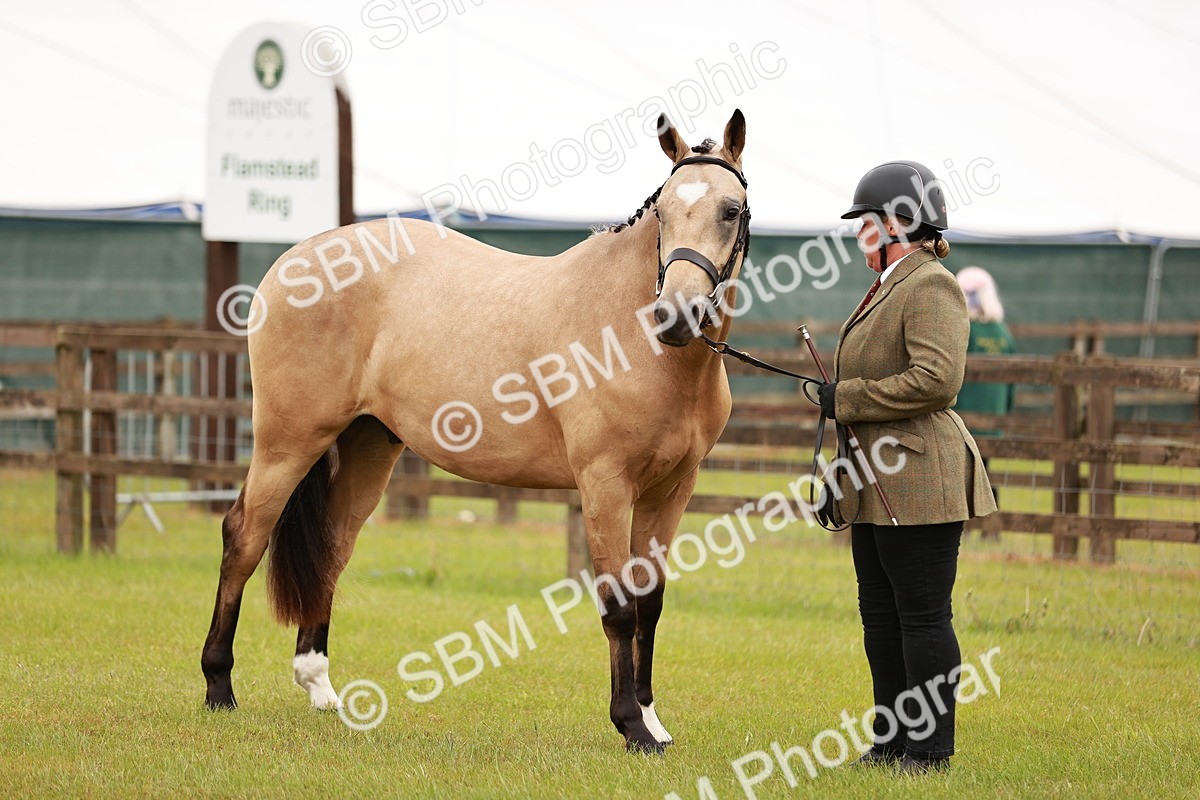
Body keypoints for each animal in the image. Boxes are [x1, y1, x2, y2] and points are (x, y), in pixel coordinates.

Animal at [200, 109, 752, 753]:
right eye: (662, 211)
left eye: (730, 210)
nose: (676, 316)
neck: (632, 335)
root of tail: (299, 258)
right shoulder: (606, 486)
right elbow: (619, 607)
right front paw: (631, 726)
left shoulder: (673, 491)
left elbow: (651, 605)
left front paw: (653, 722)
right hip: (286, 443)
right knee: (243, 537)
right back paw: (218, 687)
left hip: (366, 448)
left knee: (332, 550)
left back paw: (320, 688)